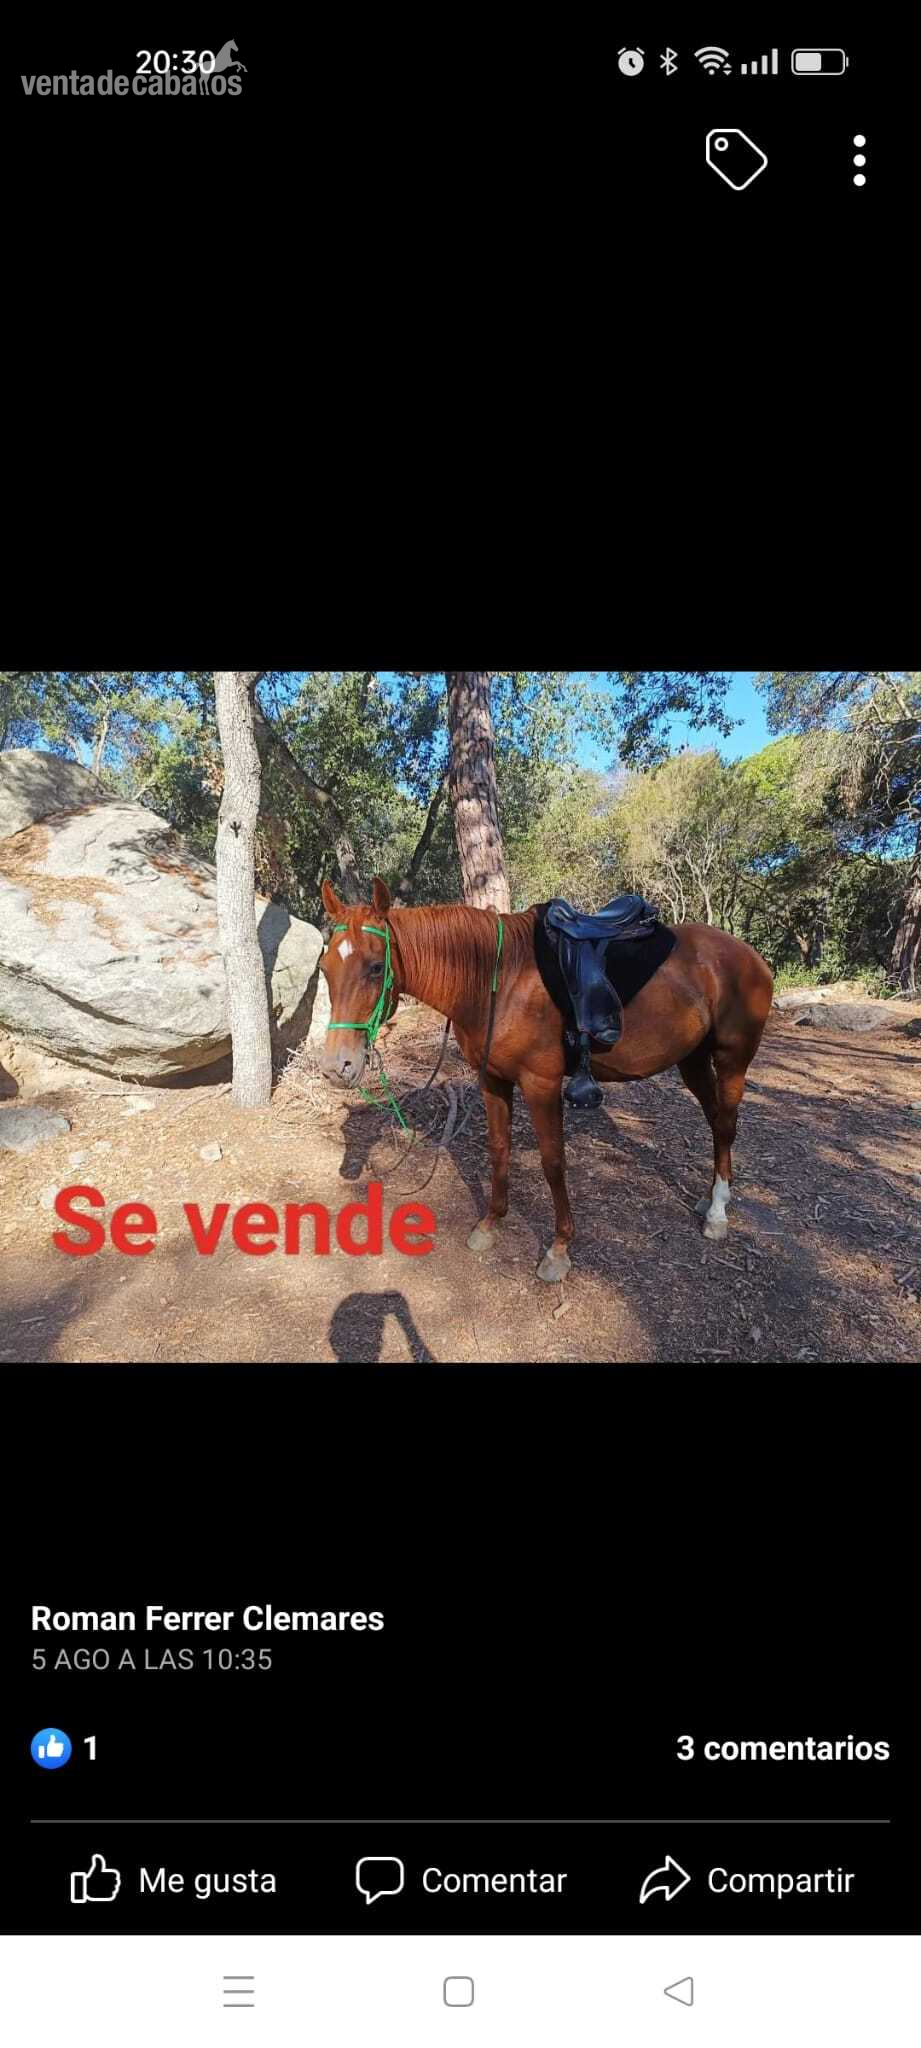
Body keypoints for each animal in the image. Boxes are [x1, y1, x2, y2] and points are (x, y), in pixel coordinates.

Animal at [319, 878, 774, 1283]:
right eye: (325, 968)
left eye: (376, 967)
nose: (336, 1066)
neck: (497, 980)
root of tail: (749, 956)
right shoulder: (493, 1079)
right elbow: (498, 1149)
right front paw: (490, 1223)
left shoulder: (542, 1085)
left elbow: (553, 1162)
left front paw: (559, 1249)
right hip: (692, 1060)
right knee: (715, 1121)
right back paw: (709, 1198)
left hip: (732, 1060)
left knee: (726, 1124)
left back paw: (717, 1213)